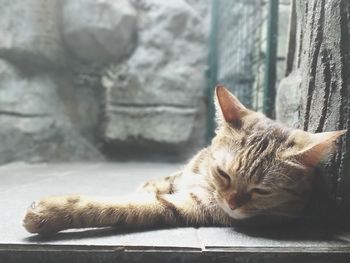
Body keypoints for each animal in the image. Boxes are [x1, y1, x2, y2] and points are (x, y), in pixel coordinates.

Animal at [23, 85, 346, 236]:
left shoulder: (191, 206)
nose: (232, 203)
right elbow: (162, 181)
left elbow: (118, 206)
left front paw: (50, 212)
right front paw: (149, 184)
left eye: (262, 191)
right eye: (223, 173)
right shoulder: (185, 173)